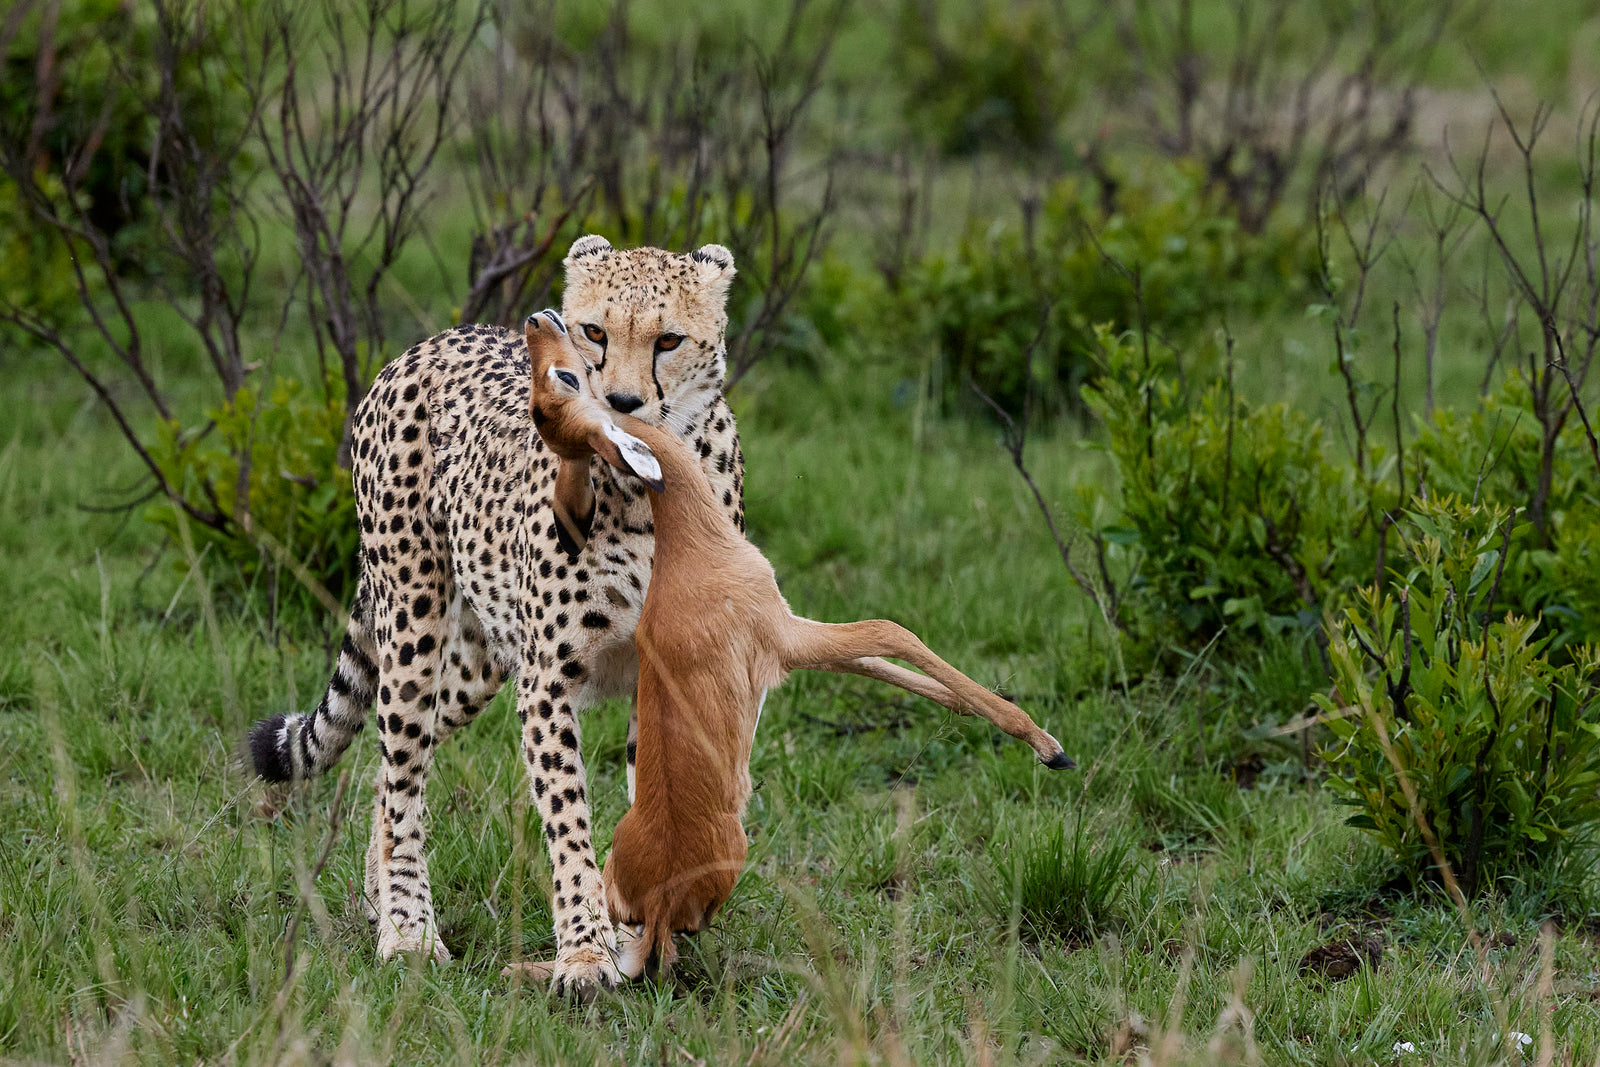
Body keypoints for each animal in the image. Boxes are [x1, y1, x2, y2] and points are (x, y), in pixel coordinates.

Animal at [245, 234, 744, 997]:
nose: (620, 403)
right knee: (400, 766)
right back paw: (408, 930)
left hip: (483, 656)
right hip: (414, 620)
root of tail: (429, 341)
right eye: (594, 332)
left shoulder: (666, 673)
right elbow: (568, 820)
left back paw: (381, 895)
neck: (649, 490)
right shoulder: (547, 680)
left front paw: (642, 938)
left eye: (668, 340)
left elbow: (652, 803)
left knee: (395, 765)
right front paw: (585, 955)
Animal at [508, 310, 1074, 980]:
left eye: (556, 385)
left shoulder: (790, 636)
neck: (690, 540)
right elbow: (891, 631)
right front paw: (1049, 746)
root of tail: (661, 904)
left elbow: (883, 661)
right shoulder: (787, 636)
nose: (536, 321)